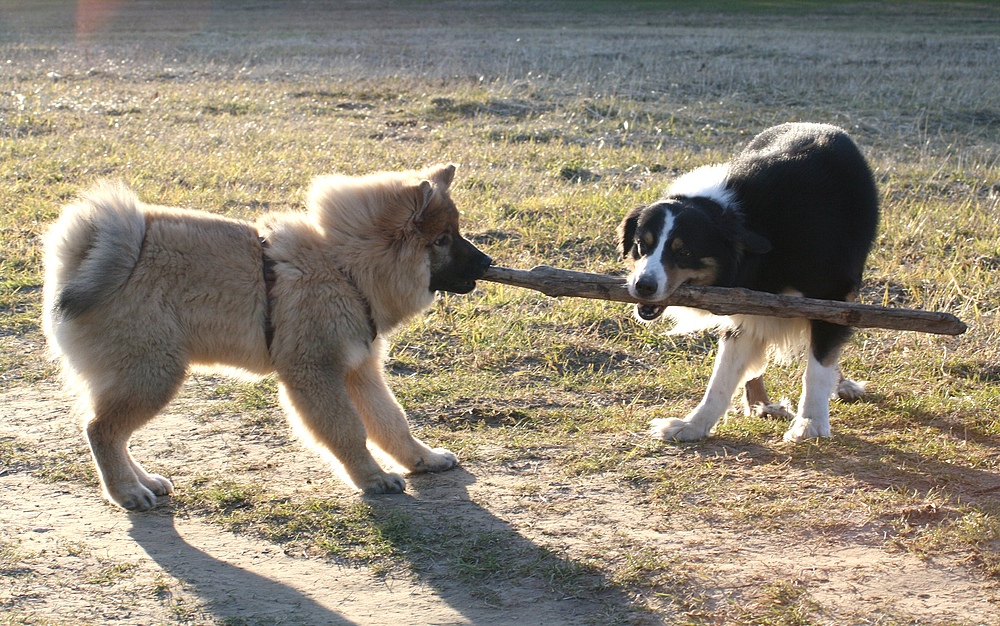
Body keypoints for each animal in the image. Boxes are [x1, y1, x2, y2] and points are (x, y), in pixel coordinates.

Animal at [616, 124, 876, 442]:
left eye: (684, 253)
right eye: (642, 245)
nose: (644, 286)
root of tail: (823, 125)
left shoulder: (831, 296)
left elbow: (817, 368)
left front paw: (810, 424)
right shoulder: (741, 305)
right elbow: (722, 377)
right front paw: (692, 426)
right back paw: (761, 405)